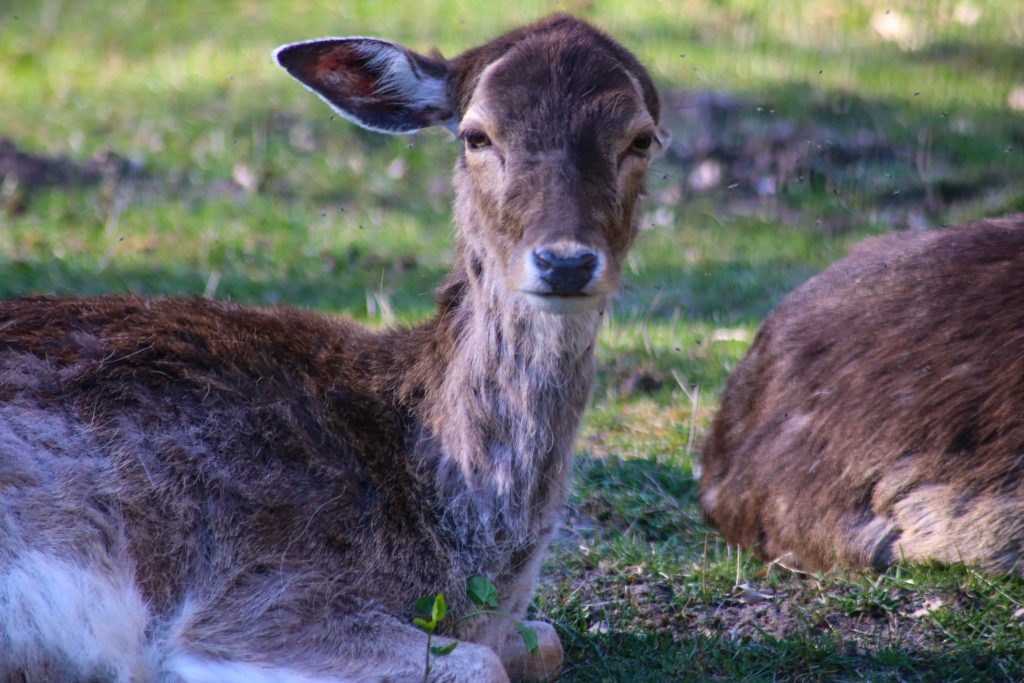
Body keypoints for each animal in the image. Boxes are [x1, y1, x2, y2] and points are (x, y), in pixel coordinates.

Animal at [0, 12, 663, 683]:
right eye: (477, 135)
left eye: (642, 139)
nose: (565, 262)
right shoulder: (256, 595)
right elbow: (483, 664)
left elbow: (546, 643)